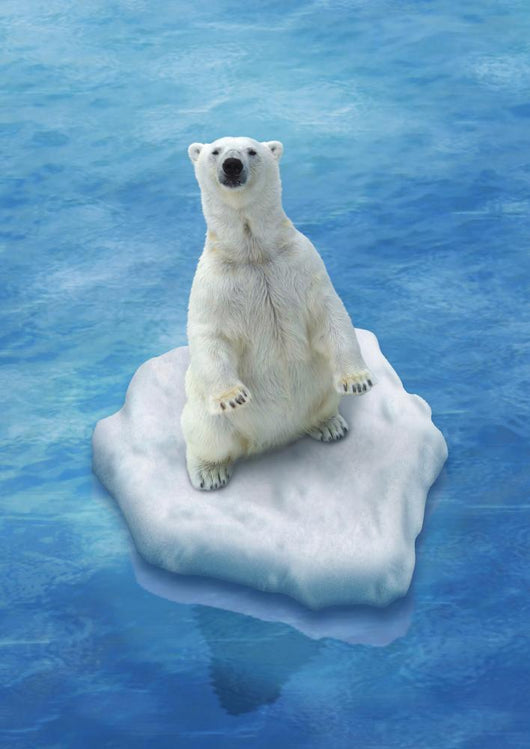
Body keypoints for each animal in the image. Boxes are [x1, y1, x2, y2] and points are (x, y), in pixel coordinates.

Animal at [181, 136, 374, 491]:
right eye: (215, 151)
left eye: (251, 151)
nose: (232, 165)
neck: (253, 252)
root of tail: (273, 438)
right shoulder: (214, 282)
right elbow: (210, 334)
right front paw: (233, 396)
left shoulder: (301, 261)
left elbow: (329, 313)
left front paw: (357, 381)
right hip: (205, 413)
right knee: (206, 435)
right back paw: (209, 473)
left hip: (319, 388)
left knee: (322, 402)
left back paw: (330, 425)